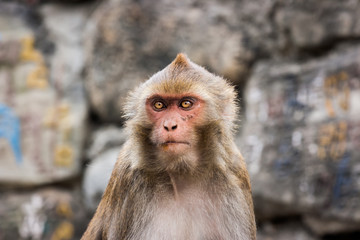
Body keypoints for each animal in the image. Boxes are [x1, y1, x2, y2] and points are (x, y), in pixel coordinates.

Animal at [81, 53, 256, 239]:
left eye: (186, 104)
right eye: (159, 105)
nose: (170, 125)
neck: (181, 174)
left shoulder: (234, 177)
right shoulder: (127, 177)